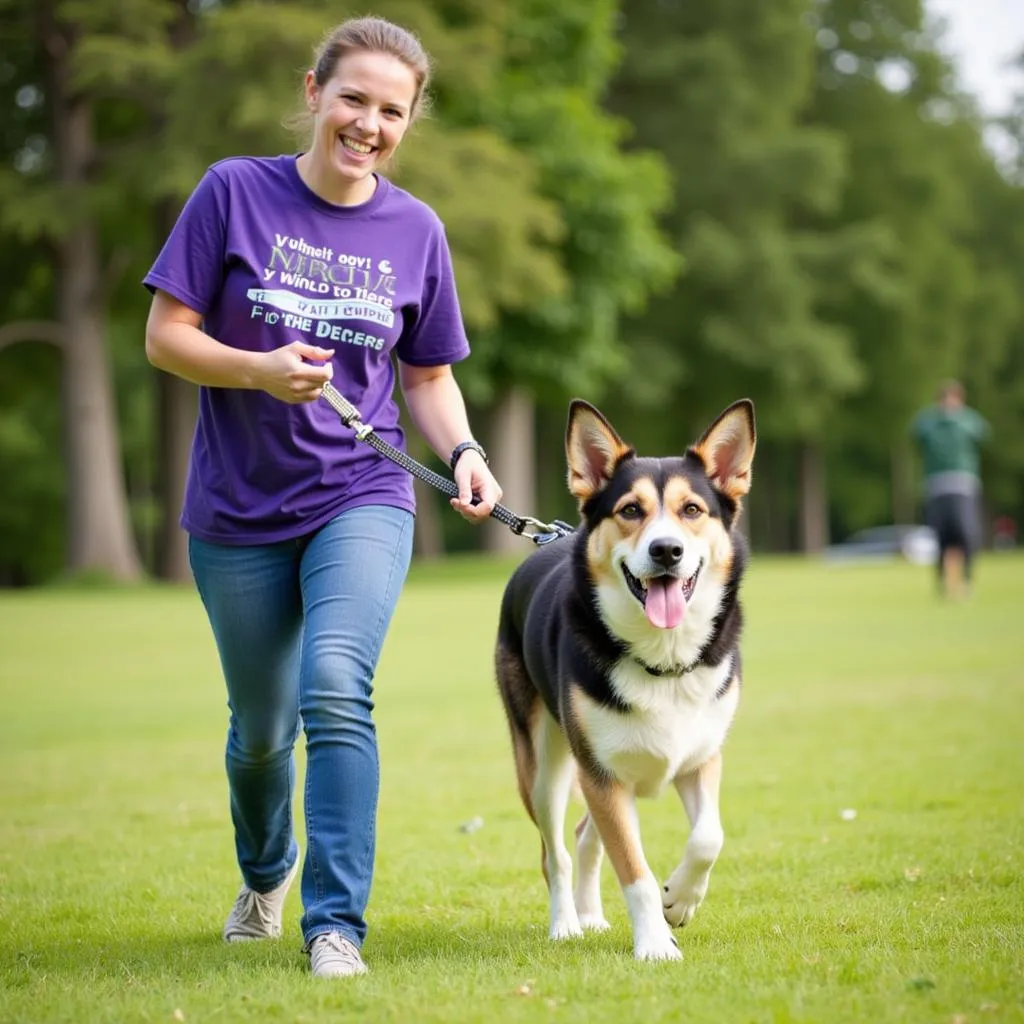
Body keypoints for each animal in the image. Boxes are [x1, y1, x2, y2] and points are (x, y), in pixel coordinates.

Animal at [491, 397, 757, 958]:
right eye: (631, 510)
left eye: (692, 510)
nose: (666, 551)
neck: (665, 659)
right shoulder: (601, 773)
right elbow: (634, 870)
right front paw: (655, 944)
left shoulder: (699, 758)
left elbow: (709, 837)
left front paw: (680, 900)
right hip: (543, 764)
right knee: (554, 851)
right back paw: (567, 924)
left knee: (584, 834)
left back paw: (591, 915)